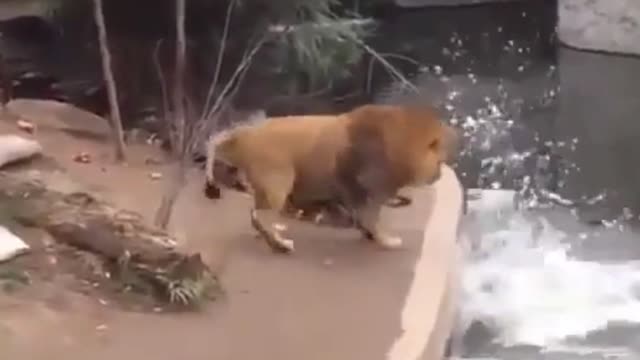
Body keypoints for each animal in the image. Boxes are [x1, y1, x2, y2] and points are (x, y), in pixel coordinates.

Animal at [202, 104, 458, 253]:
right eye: (440, 161)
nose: (438, 175)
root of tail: (244, 136)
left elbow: (364, 220)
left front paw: (369, 235)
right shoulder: (366, 191)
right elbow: (372, 219)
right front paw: (385, 240)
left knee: (257, 216)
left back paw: (273, 237)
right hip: (279, 183)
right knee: (259, 215)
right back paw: (281, 244)